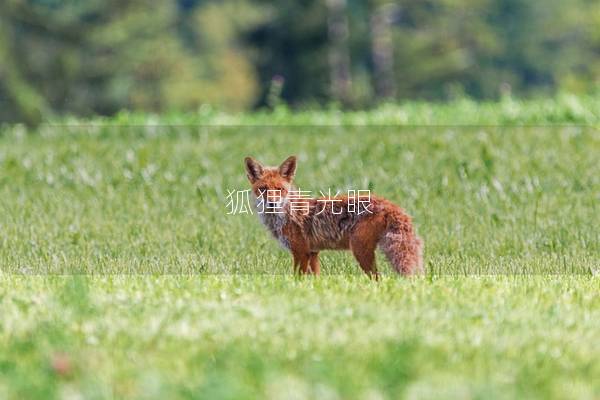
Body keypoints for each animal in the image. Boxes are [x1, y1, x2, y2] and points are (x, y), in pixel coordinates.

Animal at [244, 156, 422, 278]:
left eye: (279, 189)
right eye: (263, 189)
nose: (272, 203)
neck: (286, 213)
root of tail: (389, 203)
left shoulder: (300, 252)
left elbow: (297, 278)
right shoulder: (313, 253)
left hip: (360, 250)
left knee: (377, 279)